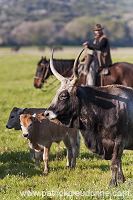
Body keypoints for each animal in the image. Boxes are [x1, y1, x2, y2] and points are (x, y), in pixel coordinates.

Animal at [45, 48, 133, 186]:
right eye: (56, 93)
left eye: (63, 95)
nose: (47, 113)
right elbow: (119, 162)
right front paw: (121, 180)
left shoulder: (119, 141)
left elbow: (114, 163)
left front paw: (113, 183)